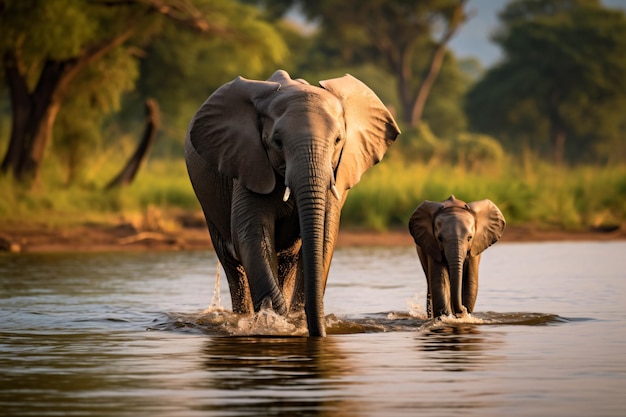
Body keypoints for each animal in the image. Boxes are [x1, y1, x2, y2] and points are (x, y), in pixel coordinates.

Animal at [185, 69, 400, 334]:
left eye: (338, 140)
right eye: (277, 141)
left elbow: (325, 236)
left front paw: (294, 319)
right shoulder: (248, 162)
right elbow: (251, 234)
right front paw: (275, 321)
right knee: (232, 264)